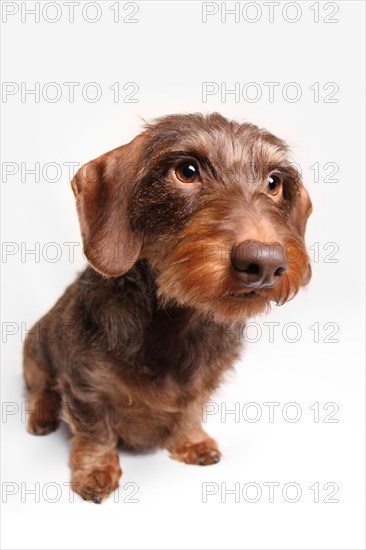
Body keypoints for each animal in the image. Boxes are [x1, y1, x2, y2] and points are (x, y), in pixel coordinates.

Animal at [22, 113, 310, 504]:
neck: (177, 322)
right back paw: (43, 413)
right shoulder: (85, 385)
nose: (265, 263)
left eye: (274, 182)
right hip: (34, 351)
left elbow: (189, 409)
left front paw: (191, 441)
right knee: (39, 388)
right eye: (186, 171)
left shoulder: (204, 383)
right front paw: (96, 470)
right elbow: (96, 430)